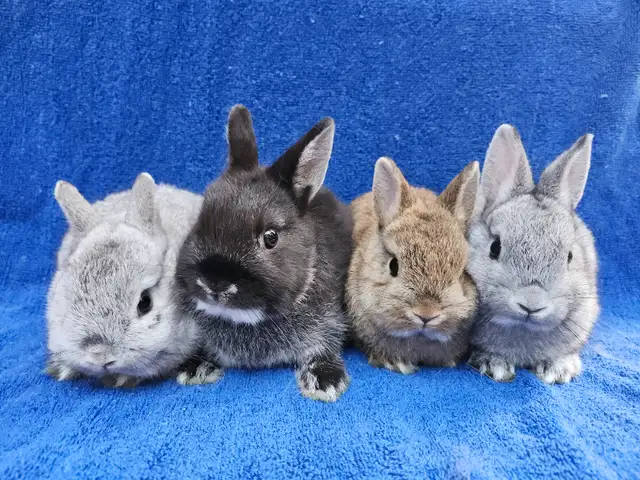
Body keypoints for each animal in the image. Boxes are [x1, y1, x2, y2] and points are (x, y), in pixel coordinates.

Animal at [174, 105, 353, 402]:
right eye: (199, 223)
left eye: (271, 237)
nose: (215, 282)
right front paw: (193, 368)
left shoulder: (329, 321)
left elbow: (324, 346)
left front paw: (325, 381)